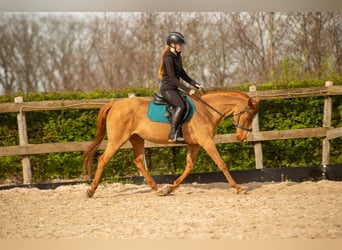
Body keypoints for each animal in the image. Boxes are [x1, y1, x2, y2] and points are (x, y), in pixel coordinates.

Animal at [82, 90, 260, 197]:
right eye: (248, 116)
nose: (242, 137)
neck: (207, 111)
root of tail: (114, 104)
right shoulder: (206, 142)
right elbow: (221, 164)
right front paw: (238, 188)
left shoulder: (195, 145)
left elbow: (189, 168)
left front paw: (170, 188)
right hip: (117, 140)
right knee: (103, 159)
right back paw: (91, 191)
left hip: (137, 138)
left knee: (138, 161)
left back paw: (158, 189)